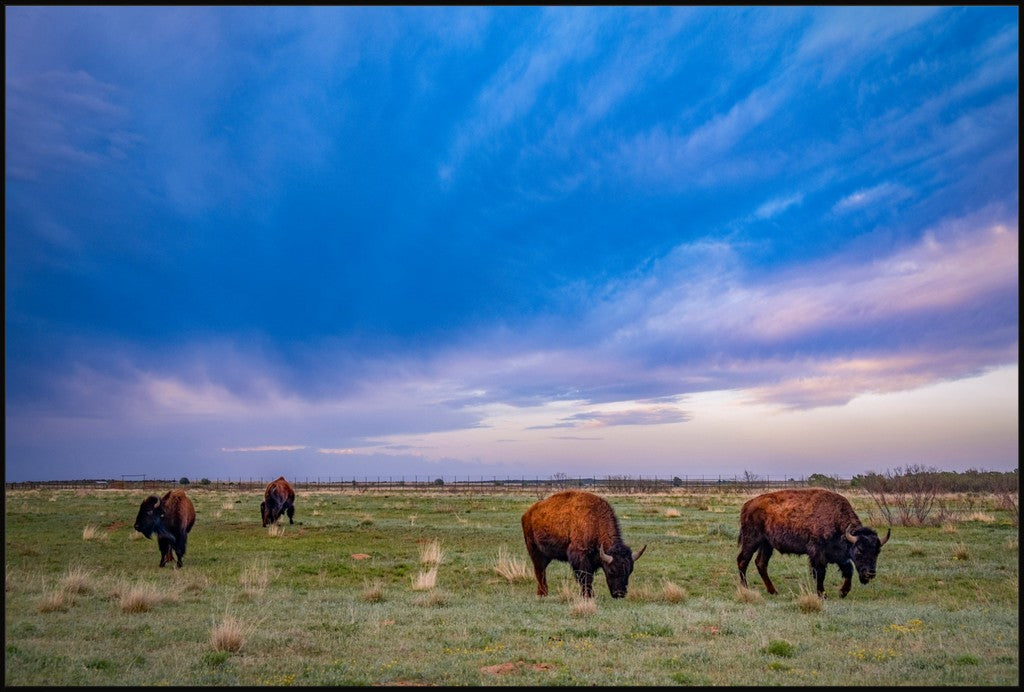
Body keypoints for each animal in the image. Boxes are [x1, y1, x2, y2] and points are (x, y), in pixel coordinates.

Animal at [737, 489, 888, 597]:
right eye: (859, 550)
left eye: (877, 552)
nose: (870, 573)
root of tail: (748, 504)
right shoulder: (817, 553)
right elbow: (820, 573)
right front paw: (822, 595)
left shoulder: (839, 555)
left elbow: (848, 570)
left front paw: (842, 592)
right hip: (752, 541)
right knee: (743, 560)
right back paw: (745, 588)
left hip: (767, 544)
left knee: (761, 563)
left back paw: (773, 591)